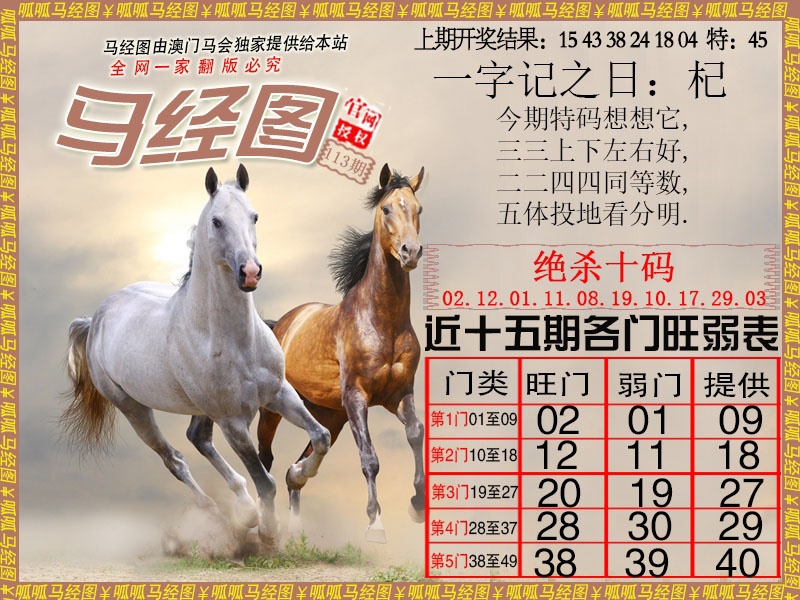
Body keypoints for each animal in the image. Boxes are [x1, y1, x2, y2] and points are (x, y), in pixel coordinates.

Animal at [63, 165, 331, 544]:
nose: (250, 272)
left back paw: (243, 510)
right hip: (134, 409)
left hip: (201, 409)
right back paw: (226, 516)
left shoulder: (279, 393)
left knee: (198, 439)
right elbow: (264, 480)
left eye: (254, 216)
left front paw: (298, 474)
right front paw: (268, 531)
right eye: (217, 221)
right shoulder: (233, 422)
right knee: (174, 459)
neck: (235, 340)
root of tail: (96, 318)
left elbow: (320, 437)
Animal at [255, 163, 426, 543]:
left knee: (299, 464)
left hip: (330, 414)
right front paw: (376, 525)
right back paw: (265, 524)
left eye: (418, 209)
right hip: (274, 409)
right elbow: (370, 458)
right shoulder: (357, 397)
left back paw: (297, 508)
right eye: (386, 209)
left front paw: (417, 505)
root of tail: (279, 324)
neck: (382, 321)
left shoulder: (399, 395)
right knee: (265, 458)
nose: (410, 252)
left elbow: (415, 434)